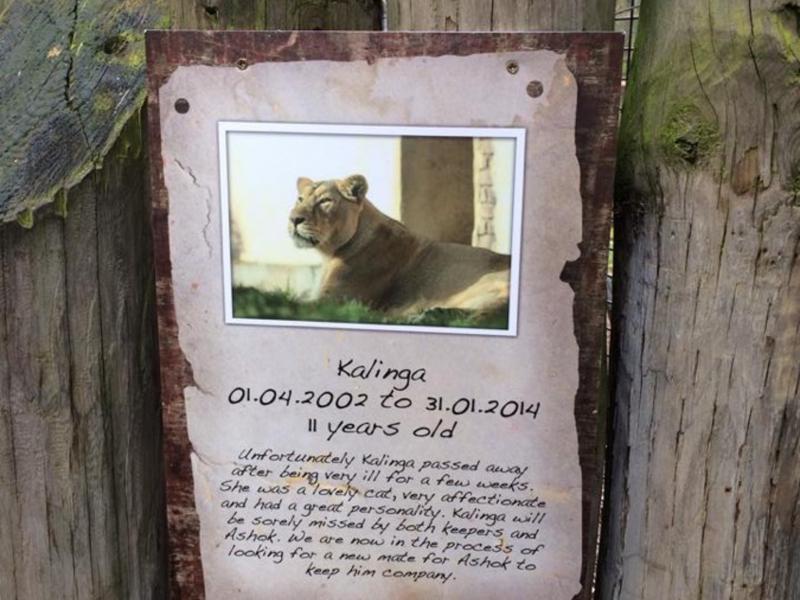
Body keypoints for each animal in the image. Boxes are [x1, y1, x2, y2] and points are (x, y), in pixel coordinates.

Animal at [288, 174, 511, 316]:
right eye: (300, 199)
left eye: (325, 201)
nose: (294, 219)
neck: (329, 254)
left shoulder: (337, 300)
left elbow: (295, 303)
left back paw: (428, 314)